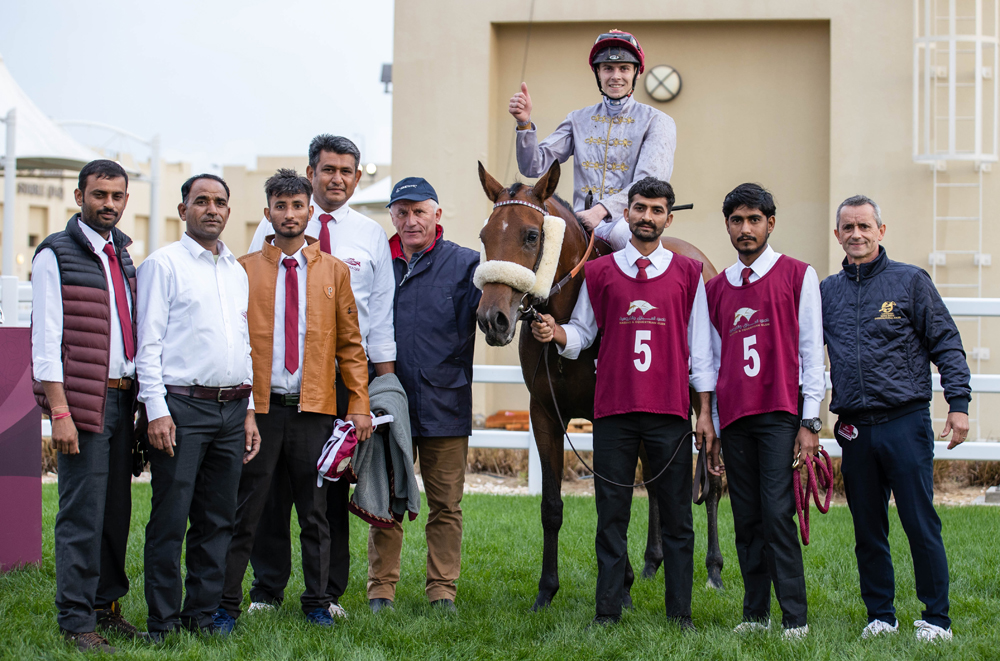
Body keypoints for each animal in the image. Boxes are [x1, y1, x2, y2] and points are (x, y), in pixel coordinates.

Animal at [476, 157, 728, 612]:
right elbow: (553, 505)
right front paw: (547, 589)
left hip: (703, 404)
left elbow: (611, 498)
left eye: (531, 234)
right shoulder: (544, 415)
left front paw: (619, 586)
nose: (493, 319)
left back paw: (713, 570)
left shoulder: (607, 417)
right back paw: (651, 563)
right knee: (656, 482)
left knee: (712, 482)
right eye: (486, 236)